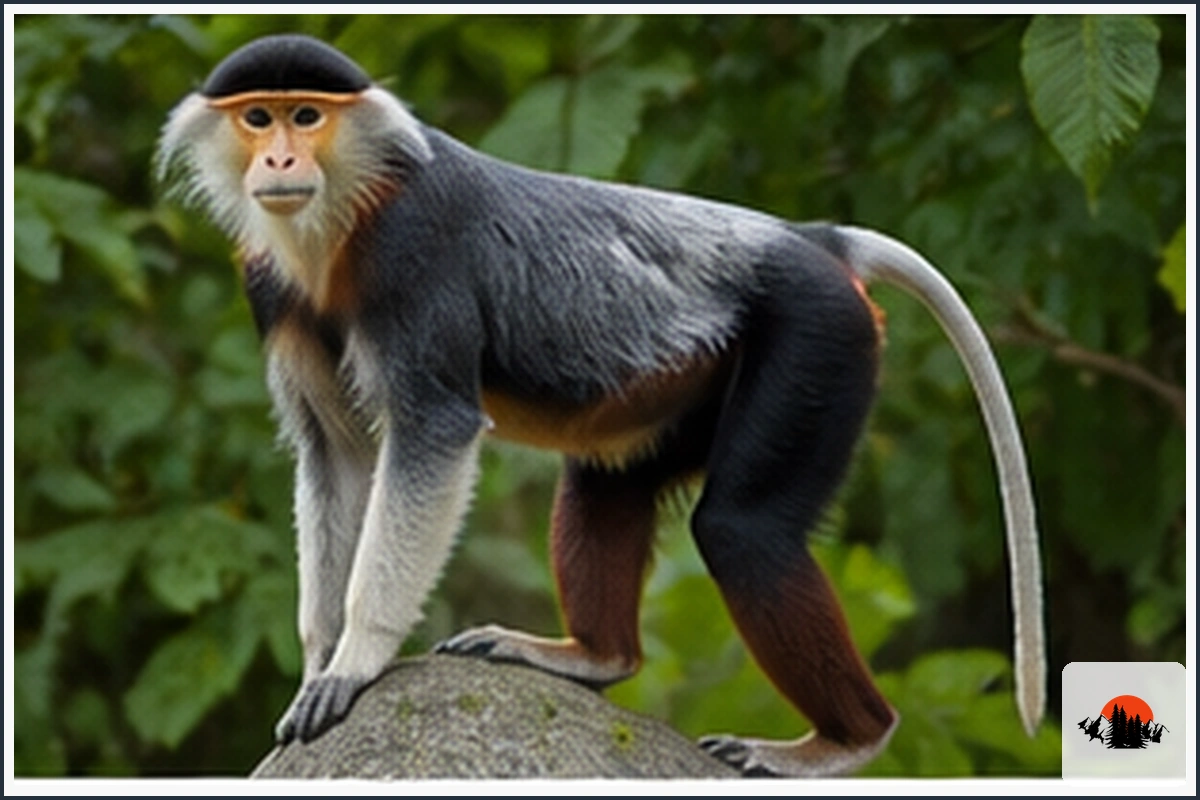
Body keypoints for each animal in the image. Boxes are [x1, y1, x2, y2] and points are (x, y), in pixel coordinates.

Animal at [157, 34, 1044, 777]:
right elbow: (335, 450)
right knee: (609, 476)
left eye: (307, 115)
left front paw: (356, 661)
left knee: (743, 531)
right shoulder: (269, 285)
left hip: (818, 334)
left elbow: (434, 432)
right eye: (259, 117)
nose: (278, 156)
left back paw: (847, 740)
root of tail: (810, 240)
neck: (343, 213)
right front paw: (318, 664)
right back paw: (595, 656)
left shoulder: (411, 252)